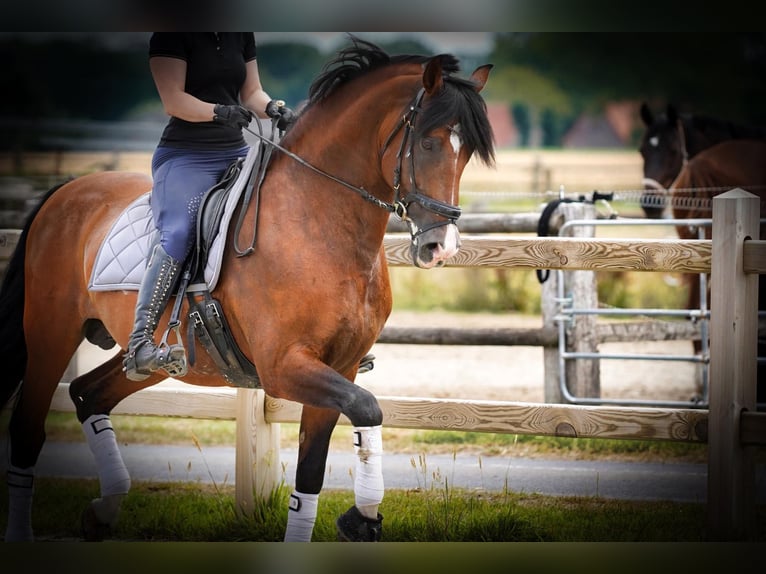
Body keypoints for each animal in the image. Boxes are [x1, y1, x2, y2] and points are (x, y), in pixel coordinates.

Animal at [0, 37, 498, 544]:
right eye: (428, 142)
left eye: (466, 155)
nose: (440, 247)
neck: (316, 221)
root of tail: (65, 192)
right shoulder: (283, 367)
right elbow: (368, 409)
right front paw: (362, 518)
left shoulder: (341, 367)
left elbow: (315, 468)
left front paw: (355, 520)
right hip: (51, 335)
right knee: (27, 426)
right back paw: (24, 533)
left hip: (159, 360)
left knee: (88, 394)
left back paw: (103, 510)